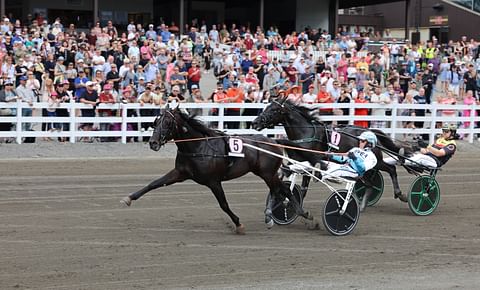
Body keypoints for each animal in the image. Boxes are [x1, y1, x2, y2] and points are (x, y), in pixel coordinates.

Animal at [121, 105, 308, 234]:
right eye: (155, 121)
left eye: (167, 122)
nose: (153, 143)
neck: (198, 146)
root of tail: (274, 141)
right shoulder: (180, 173)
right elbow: (154, 184)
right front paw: (129, 198)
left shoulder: (213, 181)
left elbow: (223, 204)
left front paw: (238, 224)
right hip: (266, 174)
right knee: (281, 190)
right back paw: (281, 215)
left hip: (267, 173)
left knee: (282, 190)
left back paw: (299, 214)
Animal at [251, 98, 412, 205]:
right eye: (266, 107)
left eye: (273, 110)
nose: (255, 122)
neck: (305, 133)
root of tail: (371, 132)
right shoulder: (297, 163)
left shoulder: (310, 163)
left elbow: (303, 188)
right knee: (370, 180)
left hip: (376, 160)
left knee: (391, 169)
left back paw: (400, 194)